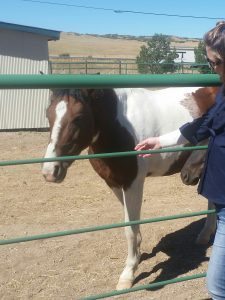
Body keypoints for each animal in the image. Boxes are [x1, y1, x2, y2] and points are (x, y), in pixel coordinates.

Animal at [41, 85, 218, 290]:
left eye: (78, 117)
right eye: (48, 114)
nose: (50, 171)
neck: (119, 126)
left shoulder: (133, 184)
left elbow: (130, 230)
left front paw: (128, 274)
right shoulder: (114, 183)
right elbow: (129, 225)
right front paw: (137, 257)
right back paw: (205, 235)